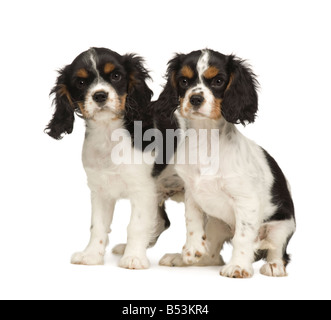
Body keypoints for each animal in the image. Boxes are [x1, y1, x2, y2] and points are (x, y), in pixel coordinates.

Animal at [45, 47, 183, 268]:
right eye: (81, 82)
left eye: (116, 76)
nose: (100, 95)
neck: (109, 133)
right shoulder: (100, 191)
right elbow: (97, 226)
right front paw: (92, 255)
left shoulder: (143, 190)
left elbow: (136, 224)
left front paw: (134, 257)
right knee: (162, 221)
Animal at [157, 49, 296, 278]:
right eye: (184, 81)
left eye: (218, 81)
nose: (195, 98)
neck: (206, 138)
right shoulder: (192, 193)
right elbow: (192, 220)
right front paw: (191, 250)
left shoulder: (246, 201)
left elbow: (243, 236)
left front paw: (238, 266)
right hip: (216, 223)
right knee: (213, 255)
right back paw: (182, 258)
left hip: (282, 227)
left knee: (278, 251)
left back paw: (274, 267)